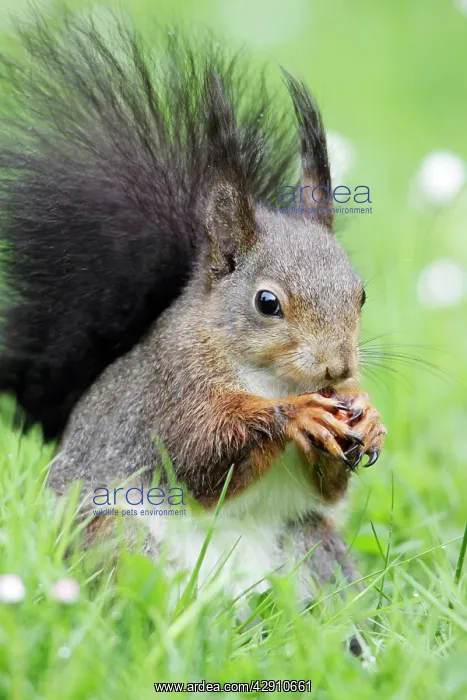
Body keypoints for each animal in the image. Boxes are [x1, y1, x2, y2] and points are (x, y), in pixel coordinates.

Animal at [0, 14, 386, 609]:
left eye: (360, 293)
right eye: (267, 302)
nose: (339, 367)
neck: (268, 375)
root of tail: (228, 601)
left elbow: (330, 484)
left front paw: (365, 414)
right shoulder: (169, 393)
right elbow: (197, 459)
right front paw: (295, 415)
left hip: (311, 548)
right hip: (114, 535)